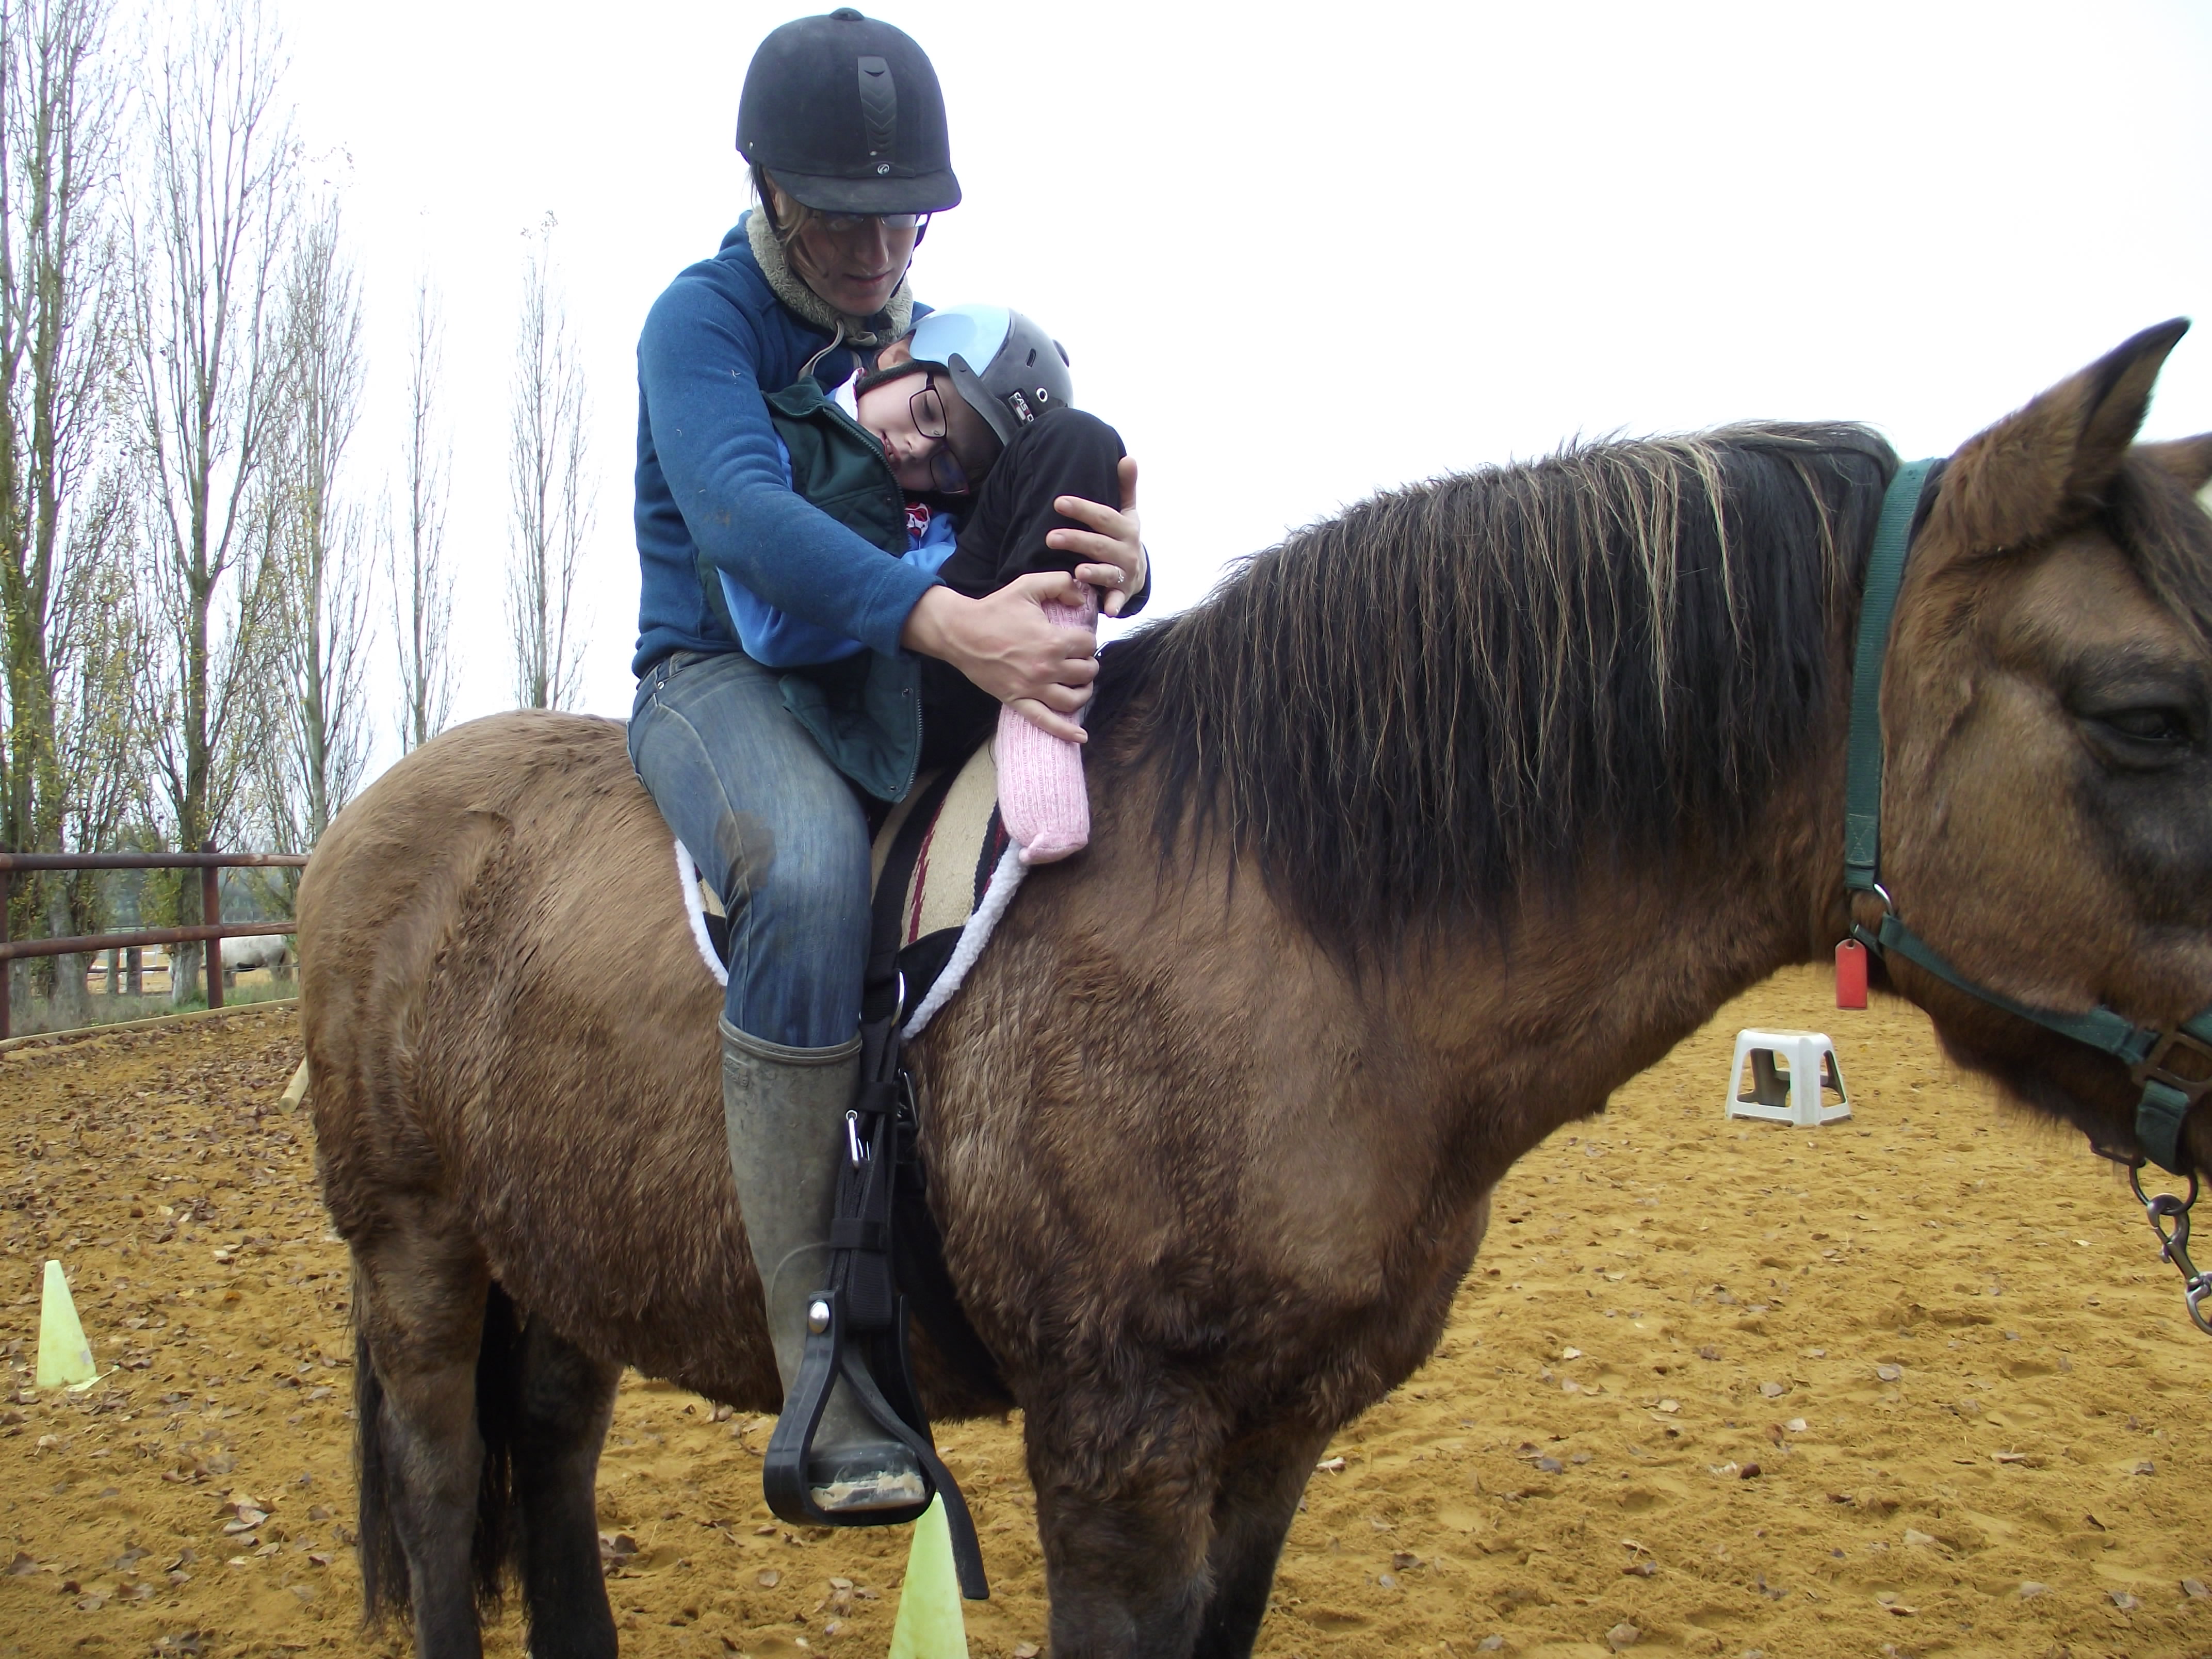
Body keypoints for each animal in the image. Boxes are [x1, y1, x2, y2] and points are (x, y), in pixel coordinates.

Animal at [298, 322, 2212, 1659]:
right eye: (2146, 711)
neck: (1305, 932)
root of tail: (369, 824)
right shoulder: (1119, 1456)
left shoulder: (1276, 1446)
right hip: (417, 1251)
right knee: (444, 1481)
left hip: (561, 1252)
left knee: (547, 1459)